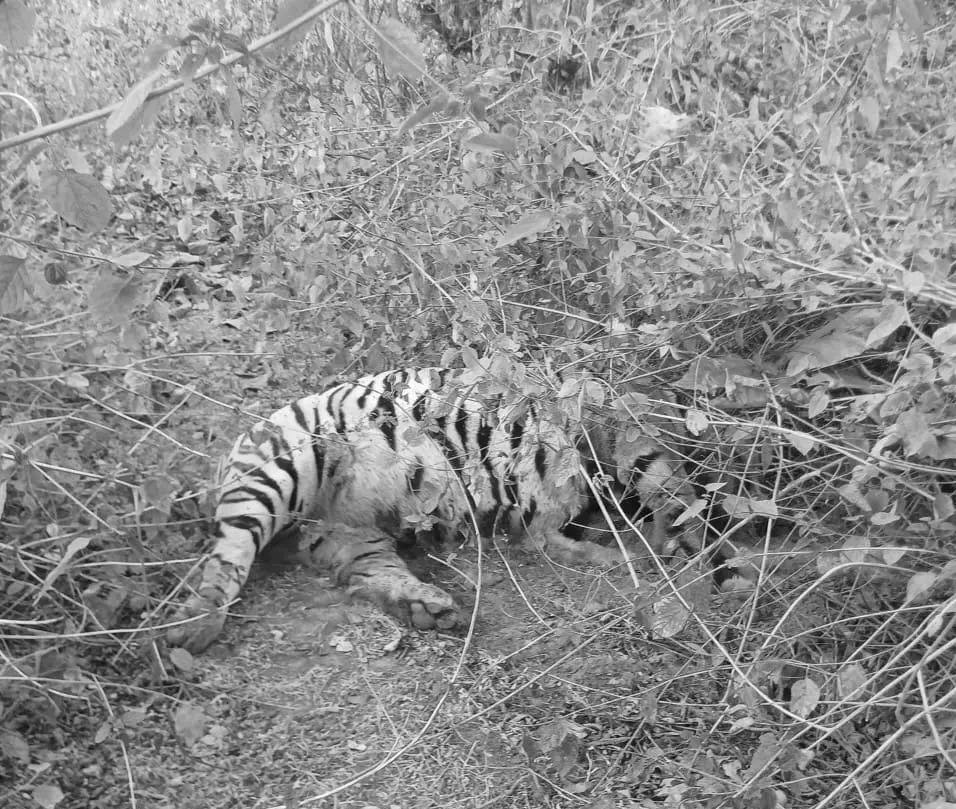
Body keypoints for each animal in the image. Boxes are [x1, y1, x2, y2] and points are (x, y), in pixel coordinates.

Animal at [168, 366, 722, 653]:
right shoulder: (623, 441)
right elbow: (671, 501)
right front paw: (681, 552)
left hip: (353, 534)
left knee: (366, 574)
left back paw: (426, 607)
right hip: (285, 468)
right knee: (229, 549)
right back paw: (190, 627)